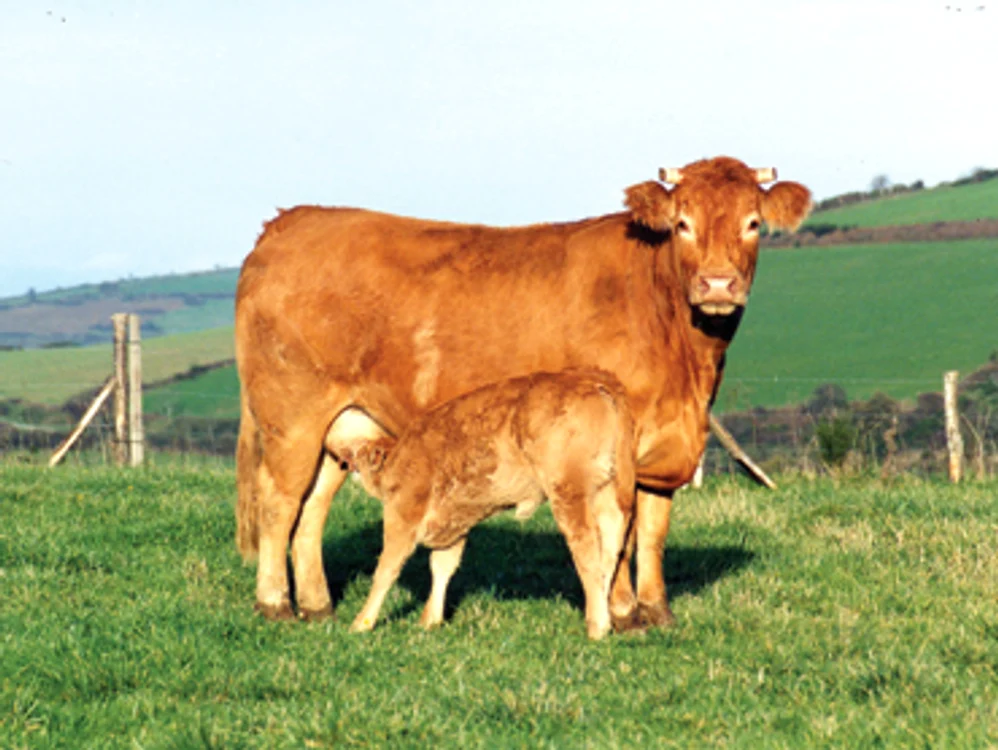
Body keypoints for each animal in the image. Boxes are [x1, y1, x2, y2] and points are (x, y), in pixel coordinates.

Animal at [324, 369, 636, 639]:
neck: (399, 459)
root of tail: (591, 379)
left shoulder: (402, 516)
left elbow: (386, 569)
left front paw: (361, 623)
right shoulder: (454, 523)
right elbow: (442, 567)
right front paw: (430, 621)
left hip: (569, 493)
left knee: (587, 550)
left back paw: (596, 626)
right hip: (609, 493)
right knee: (610, 550)